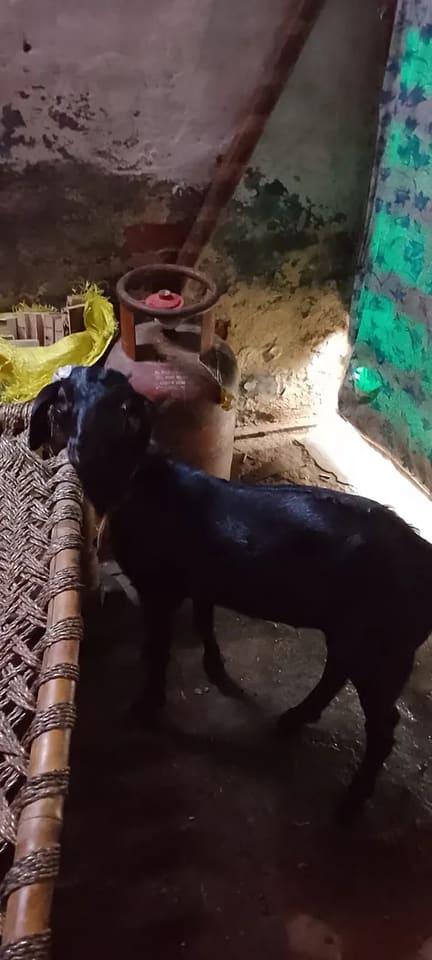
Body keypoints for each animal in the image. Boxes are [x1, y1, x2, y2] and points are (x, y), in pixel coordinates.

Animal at [29, 365, 432, 820]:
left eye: (65, 401)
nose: (81, 449)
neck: (137, 479)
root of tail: (424, 558)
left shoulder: (160, 589)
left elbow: (159, 648)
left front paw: (147, 706)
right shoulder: (198, 583)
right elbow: (204, 622)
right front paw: (216, 670)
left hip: (383, 650)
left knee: (383, 726)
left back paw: (350, 802)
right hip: (354, 637)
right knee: (335, 673)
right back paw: (293, 719)